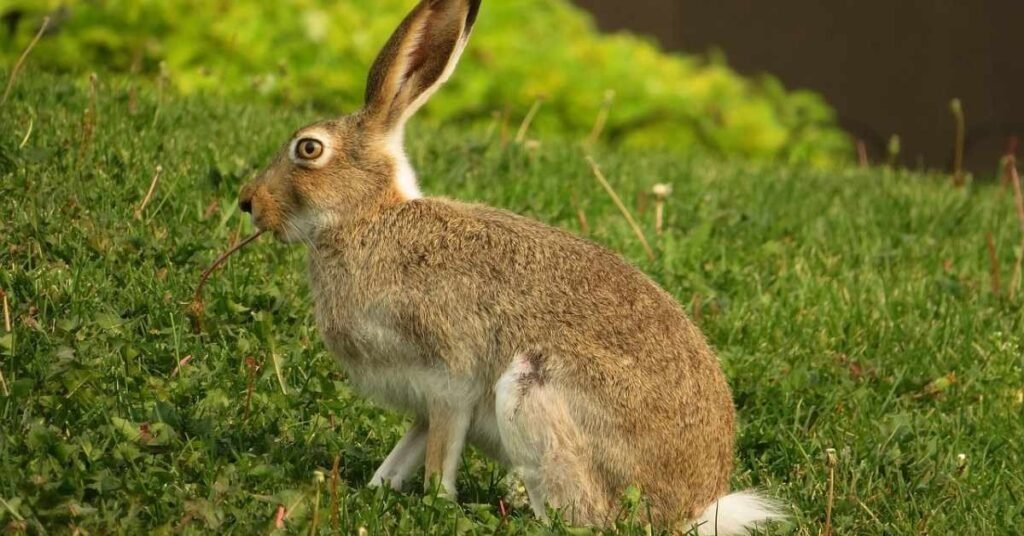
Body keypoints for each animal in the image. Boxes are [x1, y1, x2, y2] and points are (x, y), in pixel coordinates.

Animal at [237, 0, 783, 533]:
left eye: (308, 148)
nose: (248, 203)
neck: (367, 217)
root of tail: (690, 510)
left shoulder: (448, 376)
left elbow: (440, 450)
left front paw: (436, 501)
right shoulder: (421, 401)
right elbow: (410, 444)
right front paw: (379, 487)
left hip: (531, 392)